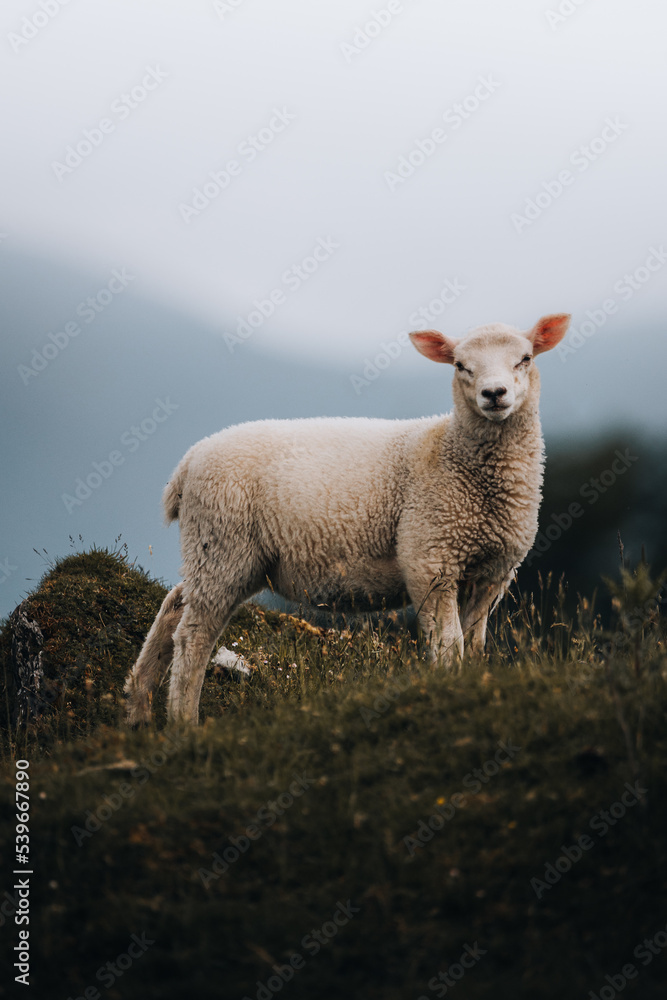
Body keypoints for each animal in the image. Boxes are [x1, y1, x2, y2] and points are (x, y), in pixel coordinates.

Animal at [124, 312, 570, 725]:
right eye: (461, 365)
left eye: (525, 359)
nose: (494, 394)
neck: (452, 453)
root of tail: (188, 463)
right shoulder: (430, 558)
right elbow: (448, 644)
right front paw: (449, 691)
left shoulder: (492, 573)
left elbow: (474, 647)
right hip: (223, 542)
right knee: (194, 635)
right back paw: (183, 723)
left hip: (221, 553)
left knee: (174, 606)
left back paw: (139, 709)